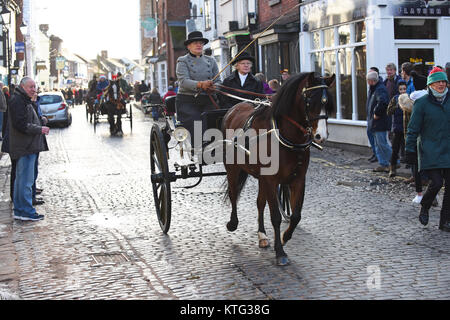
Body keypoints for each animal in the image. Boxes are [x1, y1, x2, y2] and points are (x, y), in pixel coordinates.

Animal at [221, 72, 334, 264]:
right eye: (310, 100)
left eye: (328, 102)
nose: (321, 135)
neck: (285, 136)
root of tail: (234, 108)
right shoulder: (271, 180)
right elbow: (275, 216)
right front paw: (280, 252)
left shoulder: (297, 179)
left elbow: (295, 215)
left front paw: (283, 237)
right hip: (233, 168)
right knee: (233, 193)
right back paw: (232, 223)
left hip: (259, 177)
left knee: (259, 203)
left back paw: (262, 235)